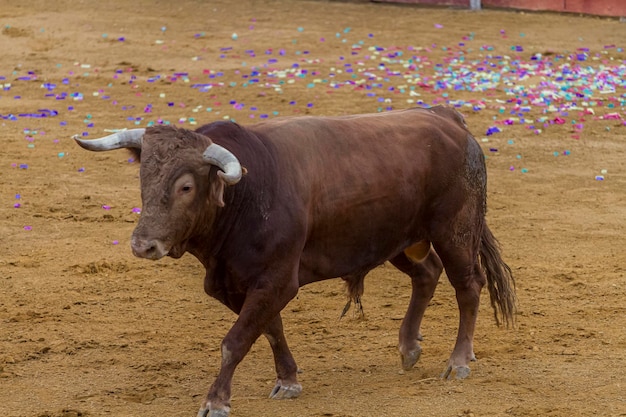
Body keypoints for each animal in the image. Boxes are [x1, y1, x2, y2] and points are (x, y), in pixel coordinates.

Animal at [74, 105, 512, 416]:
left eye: (185, 186)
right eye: (144, 178)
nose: (143, 245)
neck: (247, 192)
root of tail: (447, 118)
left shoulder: (277, 281)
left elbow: (235, 341)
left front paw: (215, 401)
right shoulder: (239, 284)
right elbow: (269, 330)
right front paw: (288, 381)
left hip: (455, 232)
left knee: (468, 286)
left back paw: (458, 361)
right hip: (395, 241)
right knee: (427, 273)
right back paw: (408, 348)